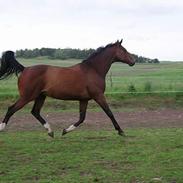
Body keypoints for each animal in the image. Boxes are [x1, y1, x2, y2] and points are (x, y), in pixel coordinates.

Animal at [0, 40, 134, 137]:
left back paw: (50, 131)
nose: (133, 61)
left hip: (40, 96)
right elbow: (109, 112)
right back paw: (2, 128)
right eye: (124, 50)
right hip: (27, 96)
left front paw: (65, 130)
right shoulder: (98, 96)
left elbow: (82, 118)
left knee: (35, 112)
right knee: (11, 109)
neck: (93, 69)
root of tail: (25, 69)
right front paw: (121, 131)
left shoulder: (84, 99)